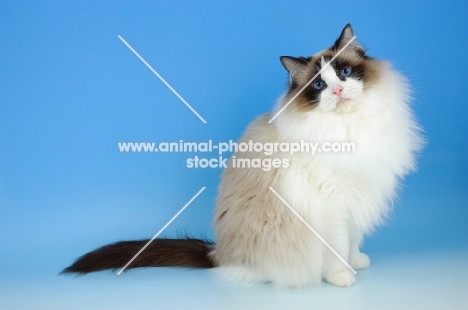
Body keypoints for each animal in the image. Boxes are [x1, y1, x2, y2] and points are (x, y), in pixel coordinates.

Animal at [63, 24, 424, 288]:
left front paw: (357, 261)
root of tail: (219, 252)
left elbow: (352, 239)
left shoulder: (358, 195)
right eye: (319, 86)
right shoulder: (333, 204)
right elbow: (336, 248)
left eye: (345, 73)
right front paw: (341, 276)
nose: (336, 90)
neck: (350, 127)